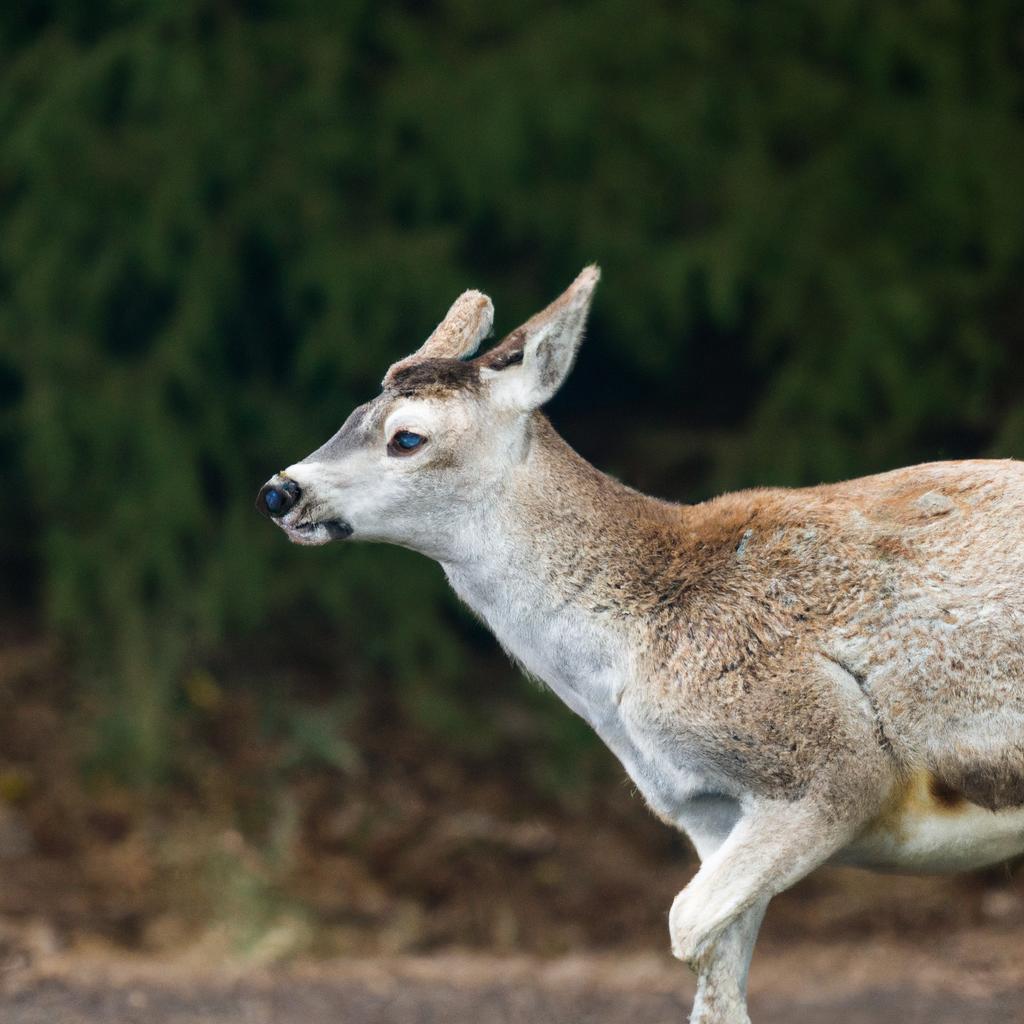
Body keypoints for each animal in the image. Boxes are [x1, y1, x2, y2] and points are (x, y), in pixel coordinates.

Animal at [256, 268, 1024, 1019]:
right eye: (351, 416)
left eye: (408, 437)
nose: (279, 491)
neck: (631, 653)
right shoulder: (710, 811)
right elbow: (713, 982)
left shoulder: (835, 765)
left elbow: (684, 928)